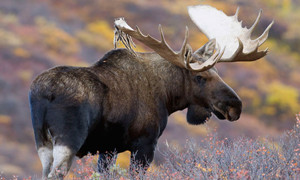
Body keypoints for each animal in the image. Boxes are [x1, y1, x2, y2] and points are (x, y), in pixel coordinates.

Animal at [29, 4, 274, 179]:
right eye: (200, 77)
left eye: (217, 71)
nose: (235, 106)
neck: (167, 96)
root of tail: (43, 94)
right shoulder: (145, 144)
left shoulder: (108, 149)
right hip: (68, 140)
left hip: (42, 141)